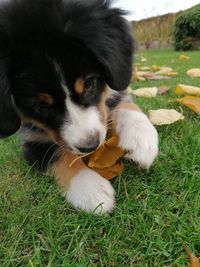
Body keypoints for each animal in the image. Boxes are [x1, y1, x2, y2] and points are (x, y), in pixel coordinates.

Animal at [0, 0, 159, 214]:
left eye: (89, 85)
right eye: (39, 105)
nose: (90, 146)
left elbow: (123, 99)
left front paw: (141, 139)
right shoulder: (31, 139)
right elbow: (56, 155)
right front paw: (91, 190)